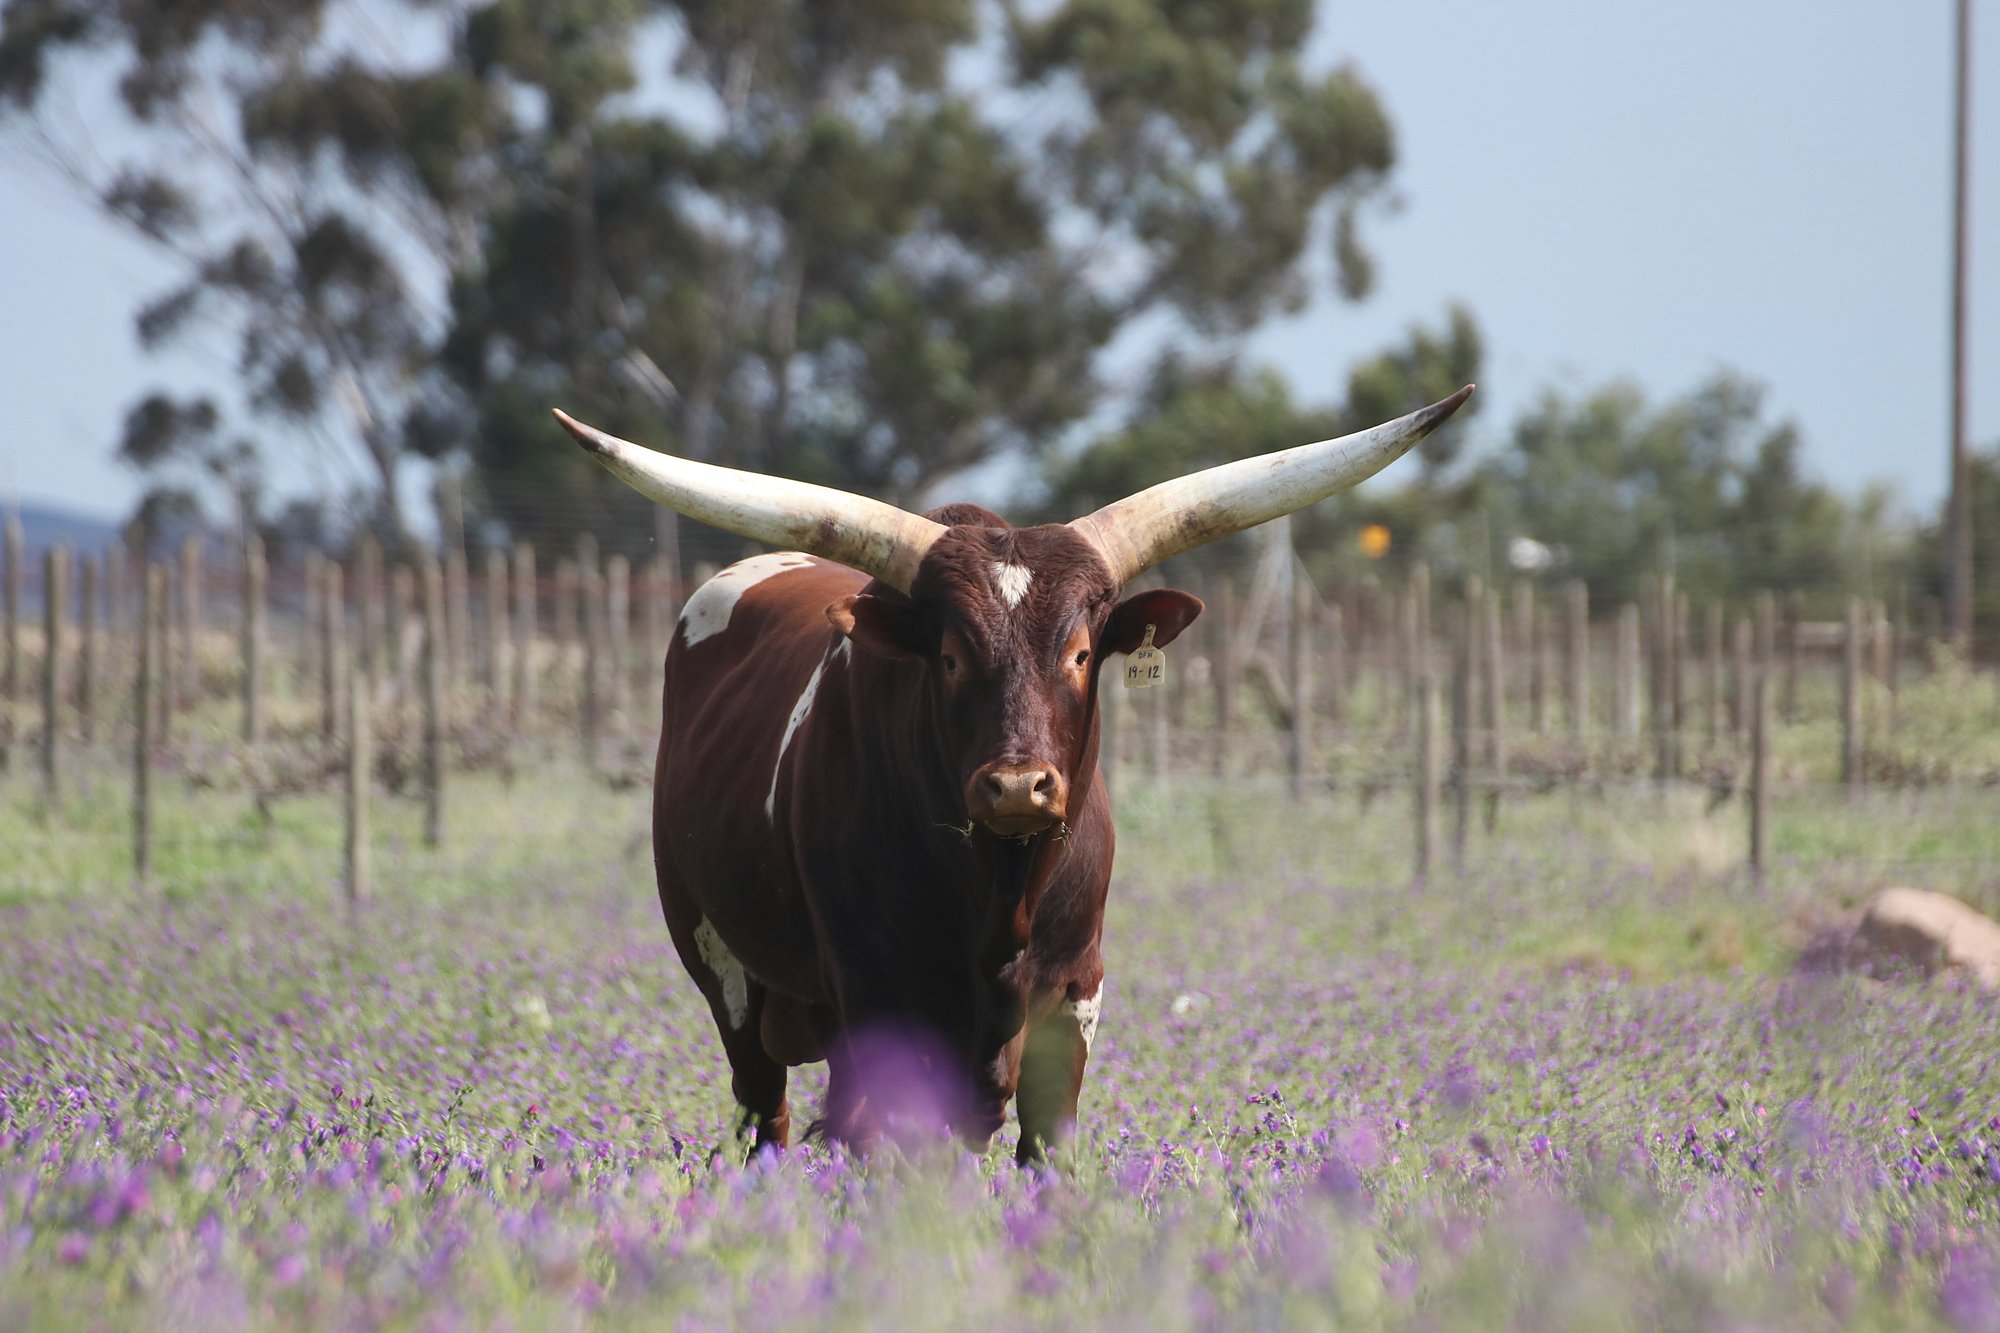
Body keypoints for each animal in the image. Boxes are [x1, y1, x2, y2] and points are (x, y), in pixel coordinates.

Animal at [553, 386, 1471, 1162]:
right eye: (951, 656)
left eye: (1082, 653)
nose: (1019, 787)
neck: (1000, 896)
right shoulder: (874, 1002)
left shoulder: (1074, 997)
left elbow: (1043, 1151)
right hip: (726, 974)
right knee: (764, 1118)